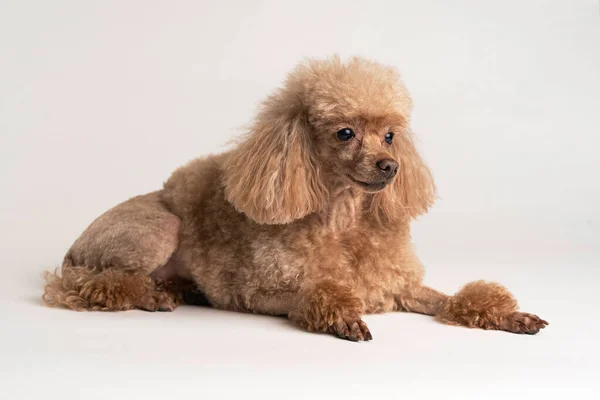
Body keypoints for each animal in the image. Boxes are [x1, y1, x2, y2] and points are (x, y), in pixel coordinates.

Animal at [43, 55, 548, 340]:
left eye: (389, 135)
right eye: (345, 133)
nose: (390, 167)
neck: (341, 221)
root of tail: (72, 250)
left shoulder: (399, 287)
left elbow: (453, 298)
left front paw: (509, 315)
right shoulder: (256, 294)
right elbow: (312, 293)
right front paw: (341, 317)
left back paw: (177, 291)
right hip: (155, 229)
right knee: (94, 284)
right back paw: (150, 296)